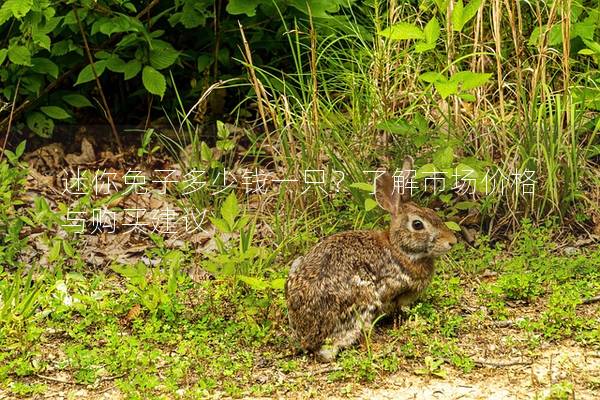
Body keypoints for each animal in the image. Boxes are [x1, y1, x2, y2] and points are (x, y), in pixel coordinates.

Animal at [284, 157, 454, 362]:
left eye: (432, 212)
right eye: (417, 225)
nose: (452, 241)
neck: (399, 249)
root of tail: (309, 337)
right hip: (363, 301)